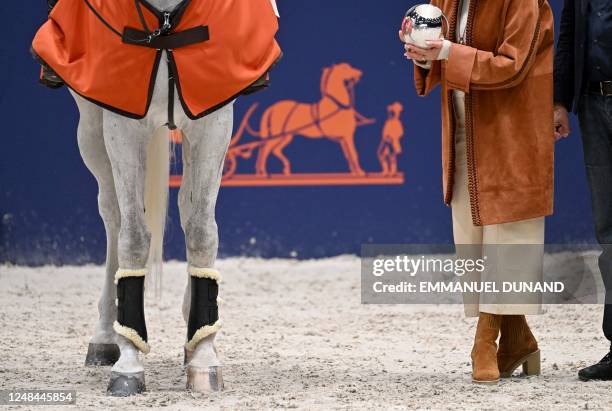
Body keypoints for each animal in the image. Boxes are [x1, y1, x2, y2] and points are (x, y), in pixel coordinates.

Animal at [72, 0, 234, 400]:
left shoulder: (214, 120)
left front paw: (204, 356)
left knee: (187, 210)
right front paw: (129, 362)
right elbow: (133, 238)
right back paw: (105, 335)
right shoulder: (122, 124)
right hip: (91, 127)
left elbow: (202, 231)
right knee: (113, 216)